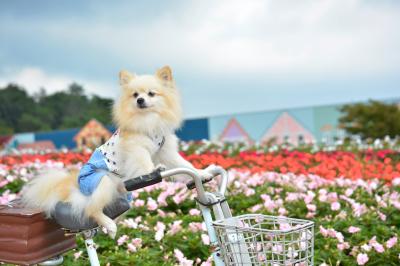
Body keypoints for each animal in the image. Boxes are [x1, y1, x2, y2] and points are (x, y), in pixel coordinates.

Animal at [21, 66, 212, 239]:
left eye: (151, 94)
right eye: (135, 95)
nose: (140, 100)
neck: (148, 121)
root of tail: (72, 186)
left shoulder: (166, 152)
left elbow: (186, 165)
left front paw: (202, 173)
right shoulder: (137, 149)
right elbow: (145, 162)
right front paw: (153, 171)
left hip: (124, 196)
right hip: (103, 182)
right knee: (91, 209)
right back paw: (109, 225)